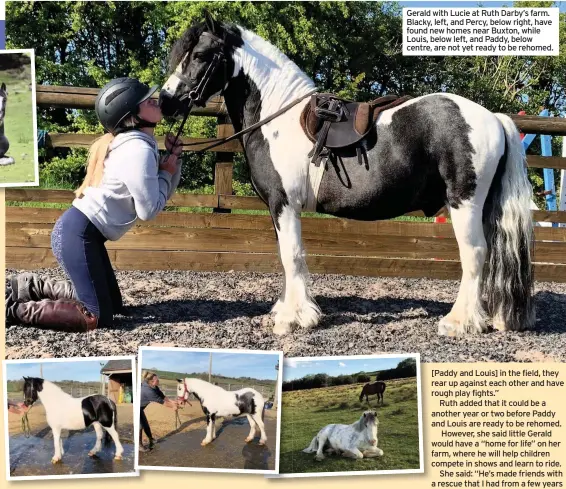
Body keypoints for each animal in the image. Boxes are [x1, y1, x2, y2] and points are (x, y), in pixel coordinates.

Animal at [159, 14, 536, 336]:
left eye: (200, 55)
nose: (165, 101)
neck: (276, 120)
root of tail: (492, 117)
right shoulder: (278, 209)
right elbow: (285, 255)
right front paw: (288, 310)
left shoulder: (285, 203)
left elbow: (292, 255)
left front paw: (296, 318)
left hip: (464, 203)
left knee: (474, 254)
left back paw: (459, 322)